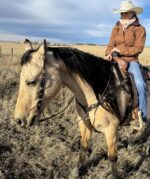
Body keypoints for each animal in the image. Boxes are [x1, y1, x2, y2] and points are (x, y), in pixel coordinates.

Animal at [14, 39, 144, 178]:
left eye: (31, 81)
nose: (18, 120)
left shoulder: (111, 130)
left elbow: (112, 156)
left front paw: (114, 175)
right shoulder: (84, 124)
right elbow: (84, 146)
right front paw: (76, 171)